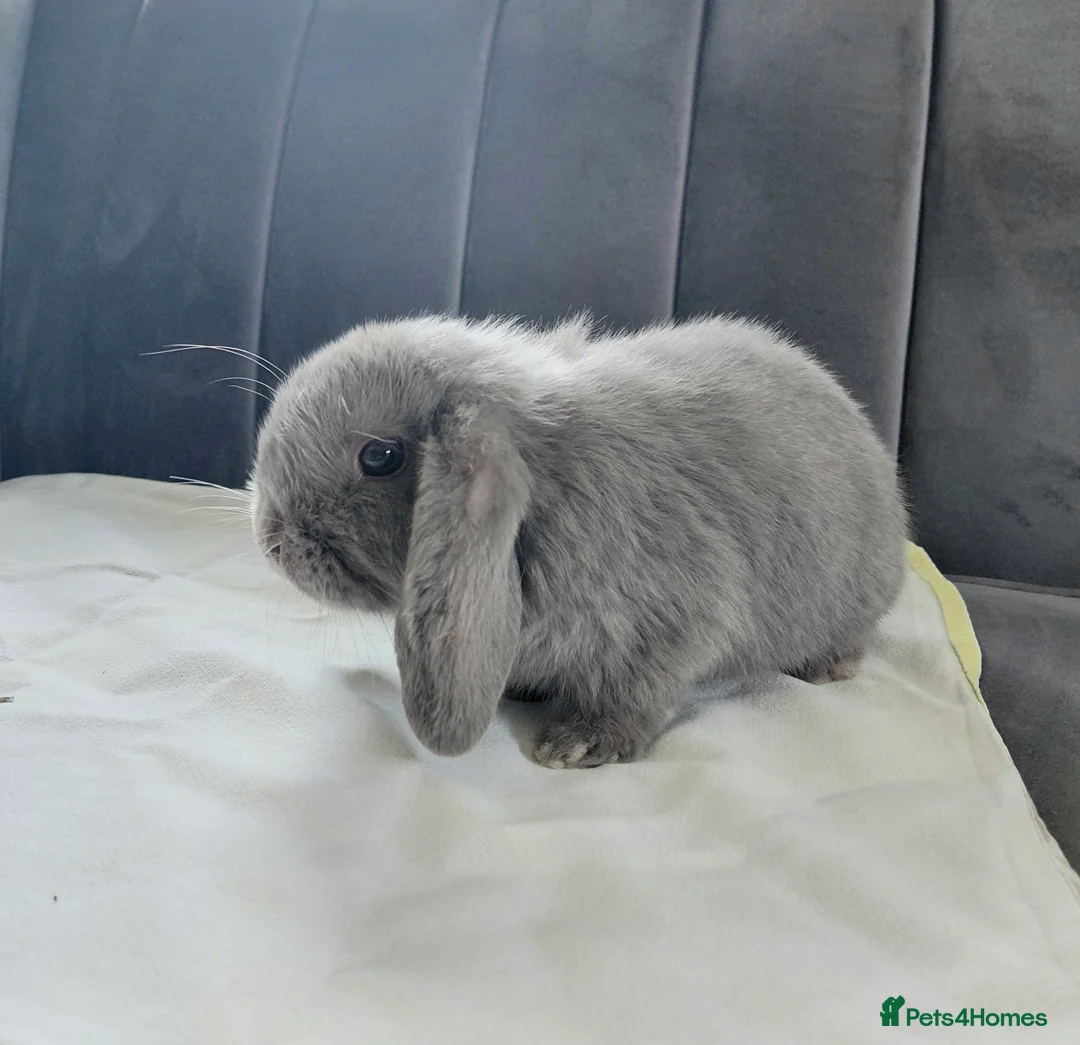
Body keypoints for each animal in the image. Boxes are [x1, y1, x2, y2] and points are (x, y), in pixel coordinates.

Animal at [249, 313, 908, 768]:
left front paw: (576, 746)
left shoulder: (675, 618)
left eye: (380, 457)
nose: (271, 542)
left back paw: (827, 667)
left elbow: (634, 690)